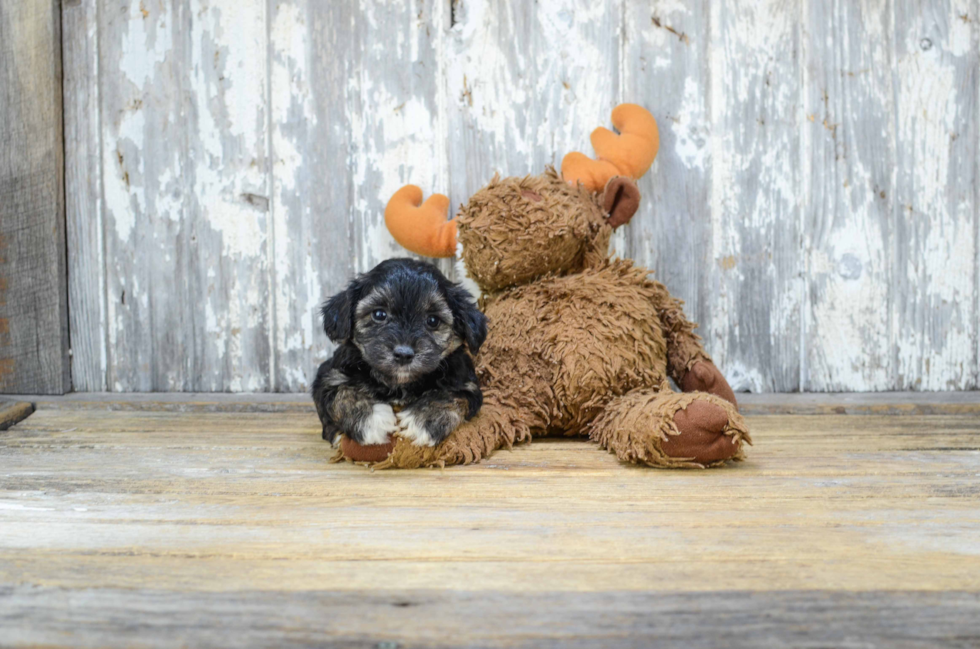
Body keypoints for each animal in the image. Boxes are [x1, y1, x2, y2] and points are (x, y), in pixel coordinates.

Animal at [310, 258, 486, 446]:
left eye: (433, 320)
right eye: (379, 314)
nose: (403, 354)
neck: (400, 384)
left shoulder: (467, 385)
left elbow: (452, 396)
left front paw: (424, 418)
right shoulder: (327, 375)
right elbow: (339, 392)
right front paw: (371, 418)